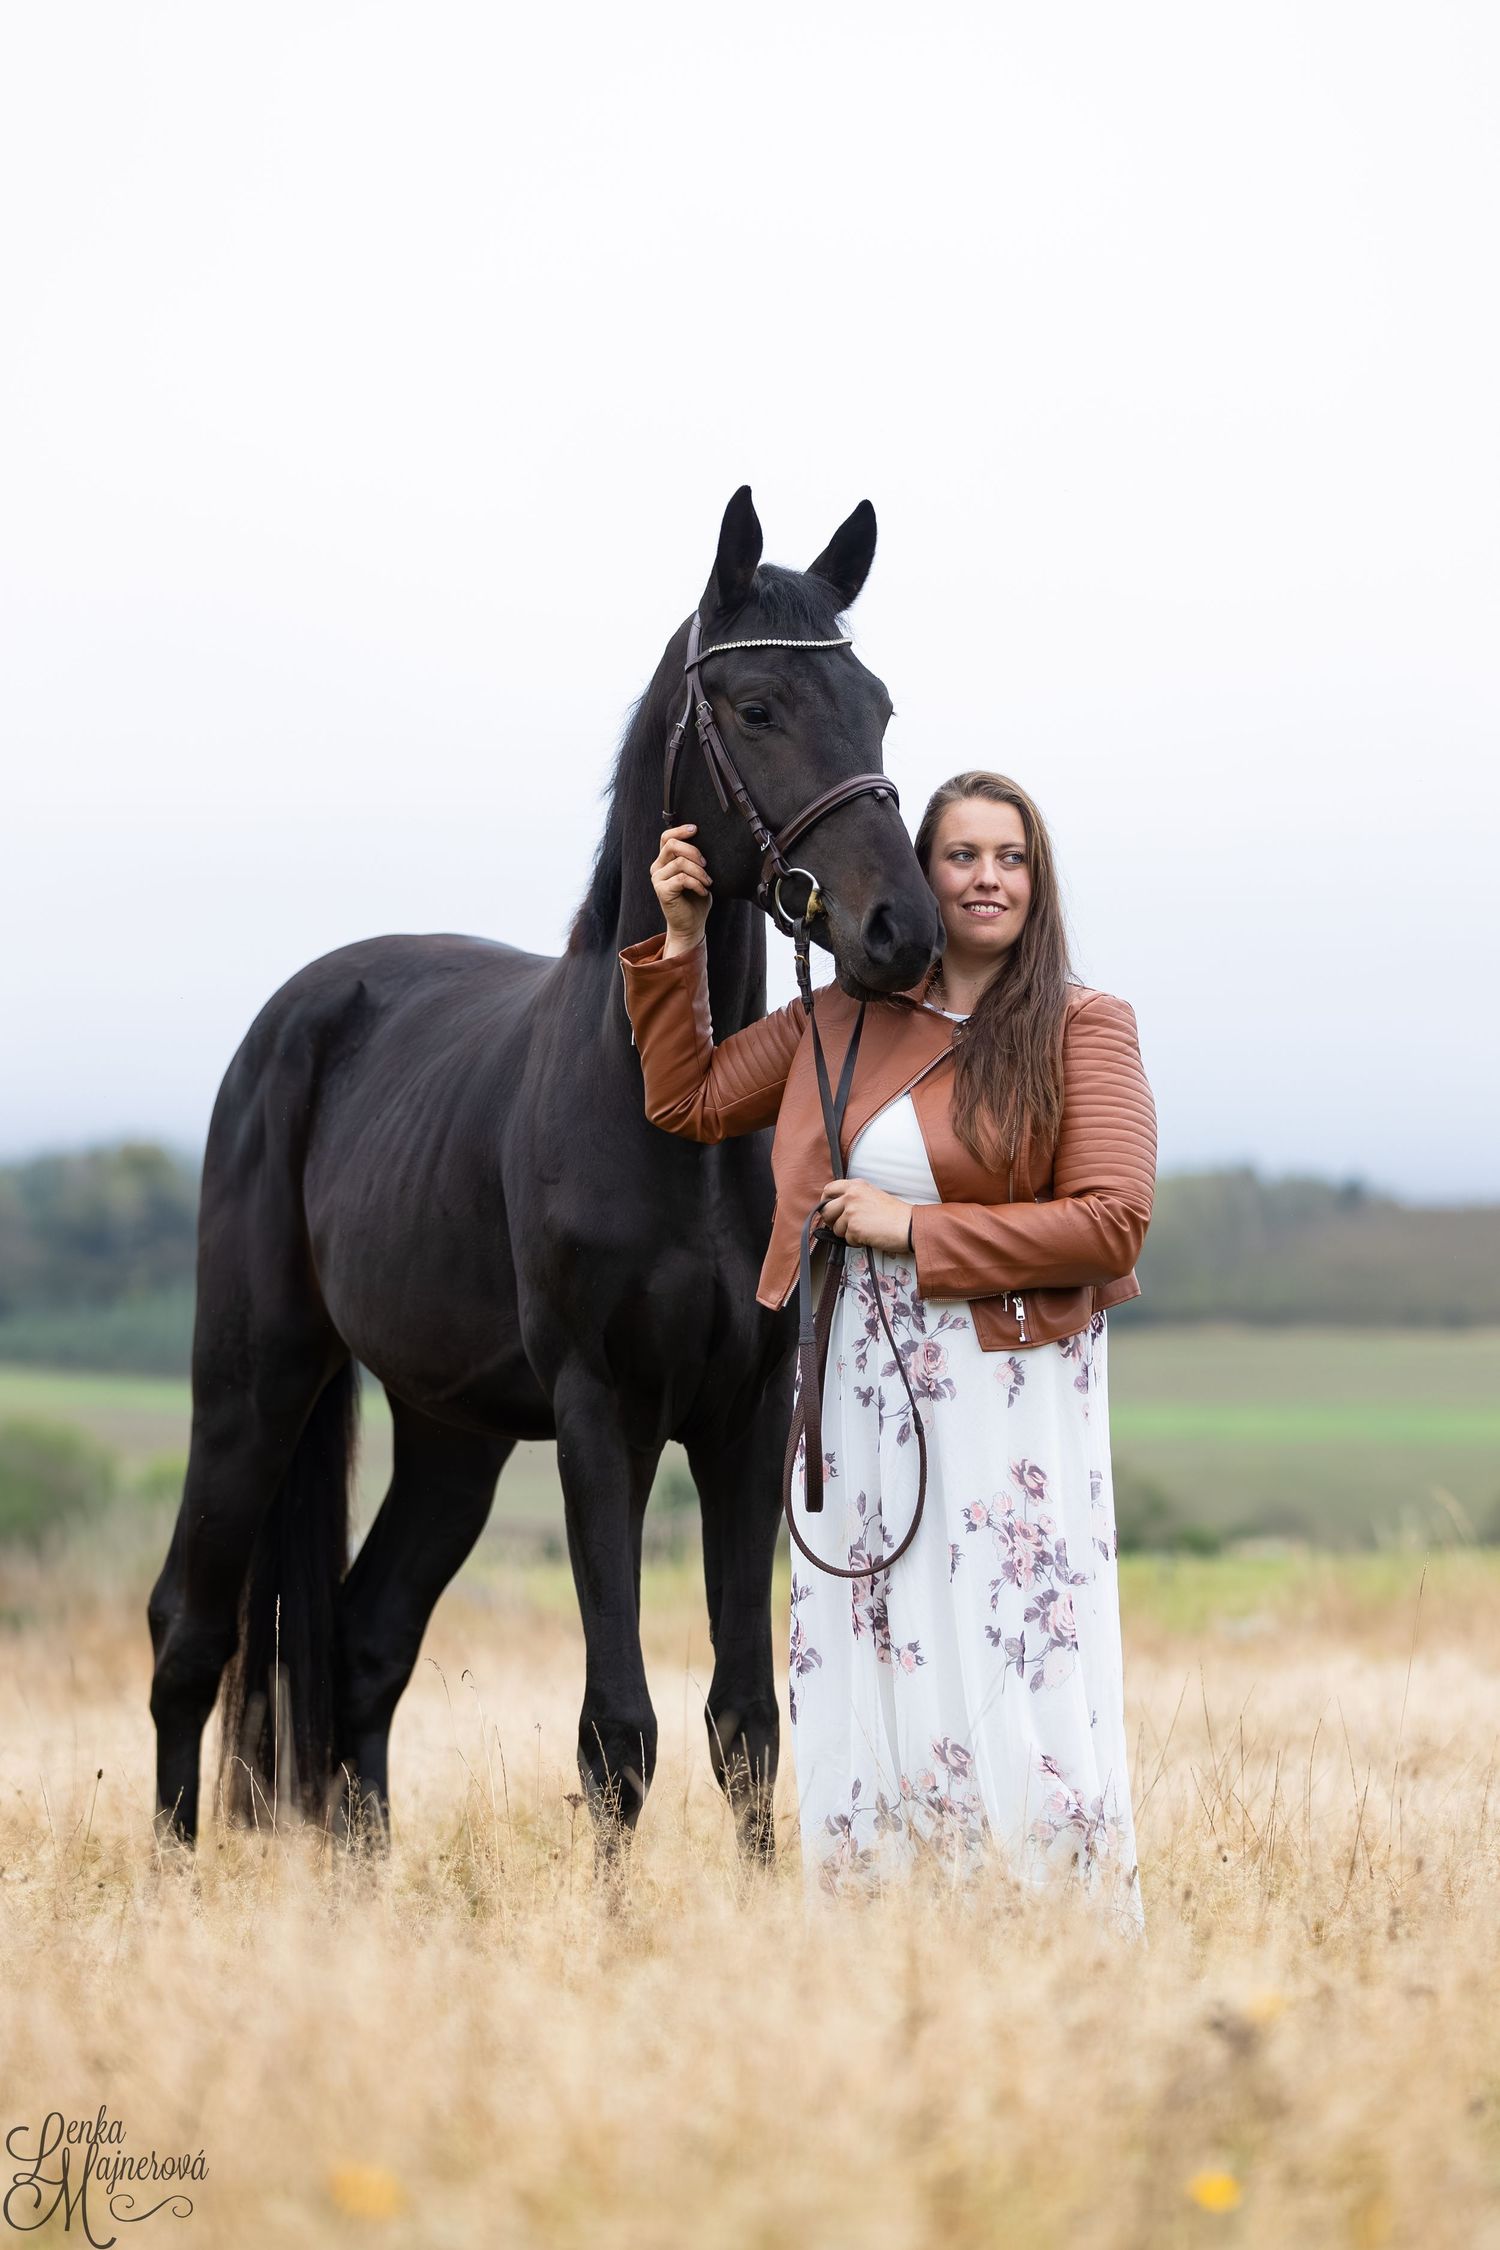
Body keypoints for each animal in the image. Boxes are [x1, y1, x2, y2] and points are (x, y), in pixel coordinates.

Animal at [147, 486, 943, 1858]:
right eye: (757, 708)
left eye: (879, 703)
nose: (904, 930)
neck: (675, 1110)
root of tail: (297, 1016)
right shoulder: (598, 1415)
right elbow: (618, 1733)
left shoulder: (741, 1421)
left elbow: (745, 1721)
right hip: (254, 1384)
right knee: (188, 1632)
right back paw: (168, 1876)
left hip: (450, 1436)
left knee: (363, 1644)